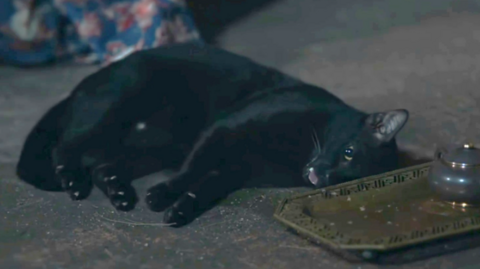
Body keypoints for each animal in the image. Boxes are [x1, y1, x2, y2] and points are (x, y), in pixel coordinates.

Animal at [17, 42, 408, 226]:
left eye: (347, 181)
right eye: (349, 152)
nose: (320, 177)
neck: (296, 153)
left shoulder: (237, 169)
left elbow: (204, 187)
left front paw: (179, 211)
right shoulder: (226, 127)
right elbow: (193, 170)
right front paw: (162, 195)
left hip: (156, 147)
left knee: (103, 165)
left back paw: (120, 192)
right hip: (118, 104)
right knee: (67, 147)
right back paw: (74, 182)